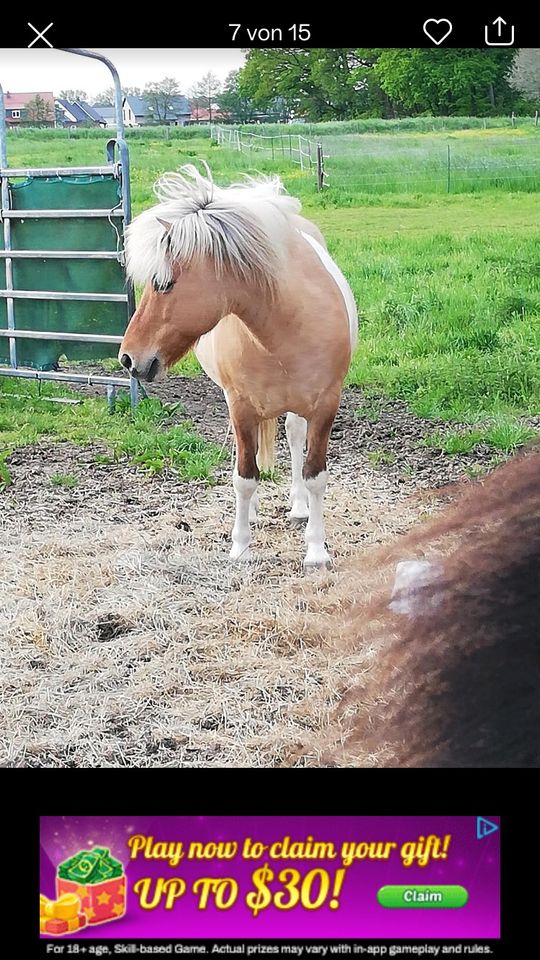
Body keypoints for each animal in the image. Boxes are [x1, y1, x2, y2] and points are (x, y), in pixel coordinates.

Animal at [118, 162, 356, 568]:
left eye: (164, 283)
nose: (128, 358)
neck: (288, 326)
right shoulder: (240, 405)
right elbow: (245, 475)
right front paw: (241, 545)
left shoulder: (326, 405)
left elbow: (315, 475)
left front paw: (316, 549)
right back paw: (256, 512)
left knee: (293, 436)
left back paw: (298, 507)